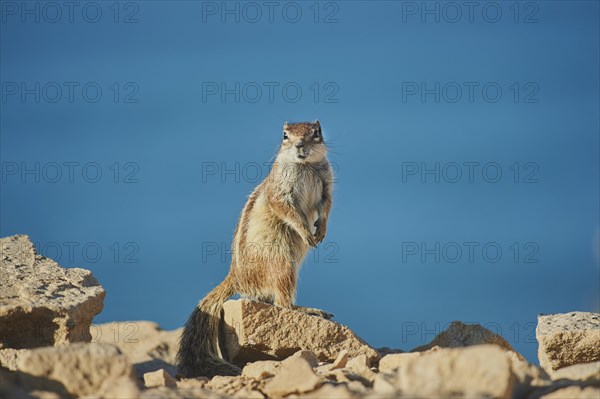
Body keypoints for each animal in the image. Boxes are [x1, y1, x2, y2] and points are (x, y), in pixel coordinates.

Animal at [176, 121, 336, 378]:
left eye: (316, 133)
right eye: (285, 135)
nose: (299, 145)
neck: (305, 166)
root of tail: (235, 277)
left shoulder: (327, 185)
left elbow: (327, 206)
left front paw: (320, 230)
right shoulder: (280, 191)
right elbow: (286, 209)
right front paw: (305, 232)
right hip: (282, 264)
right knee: (283, 304)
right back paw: (309, 309)